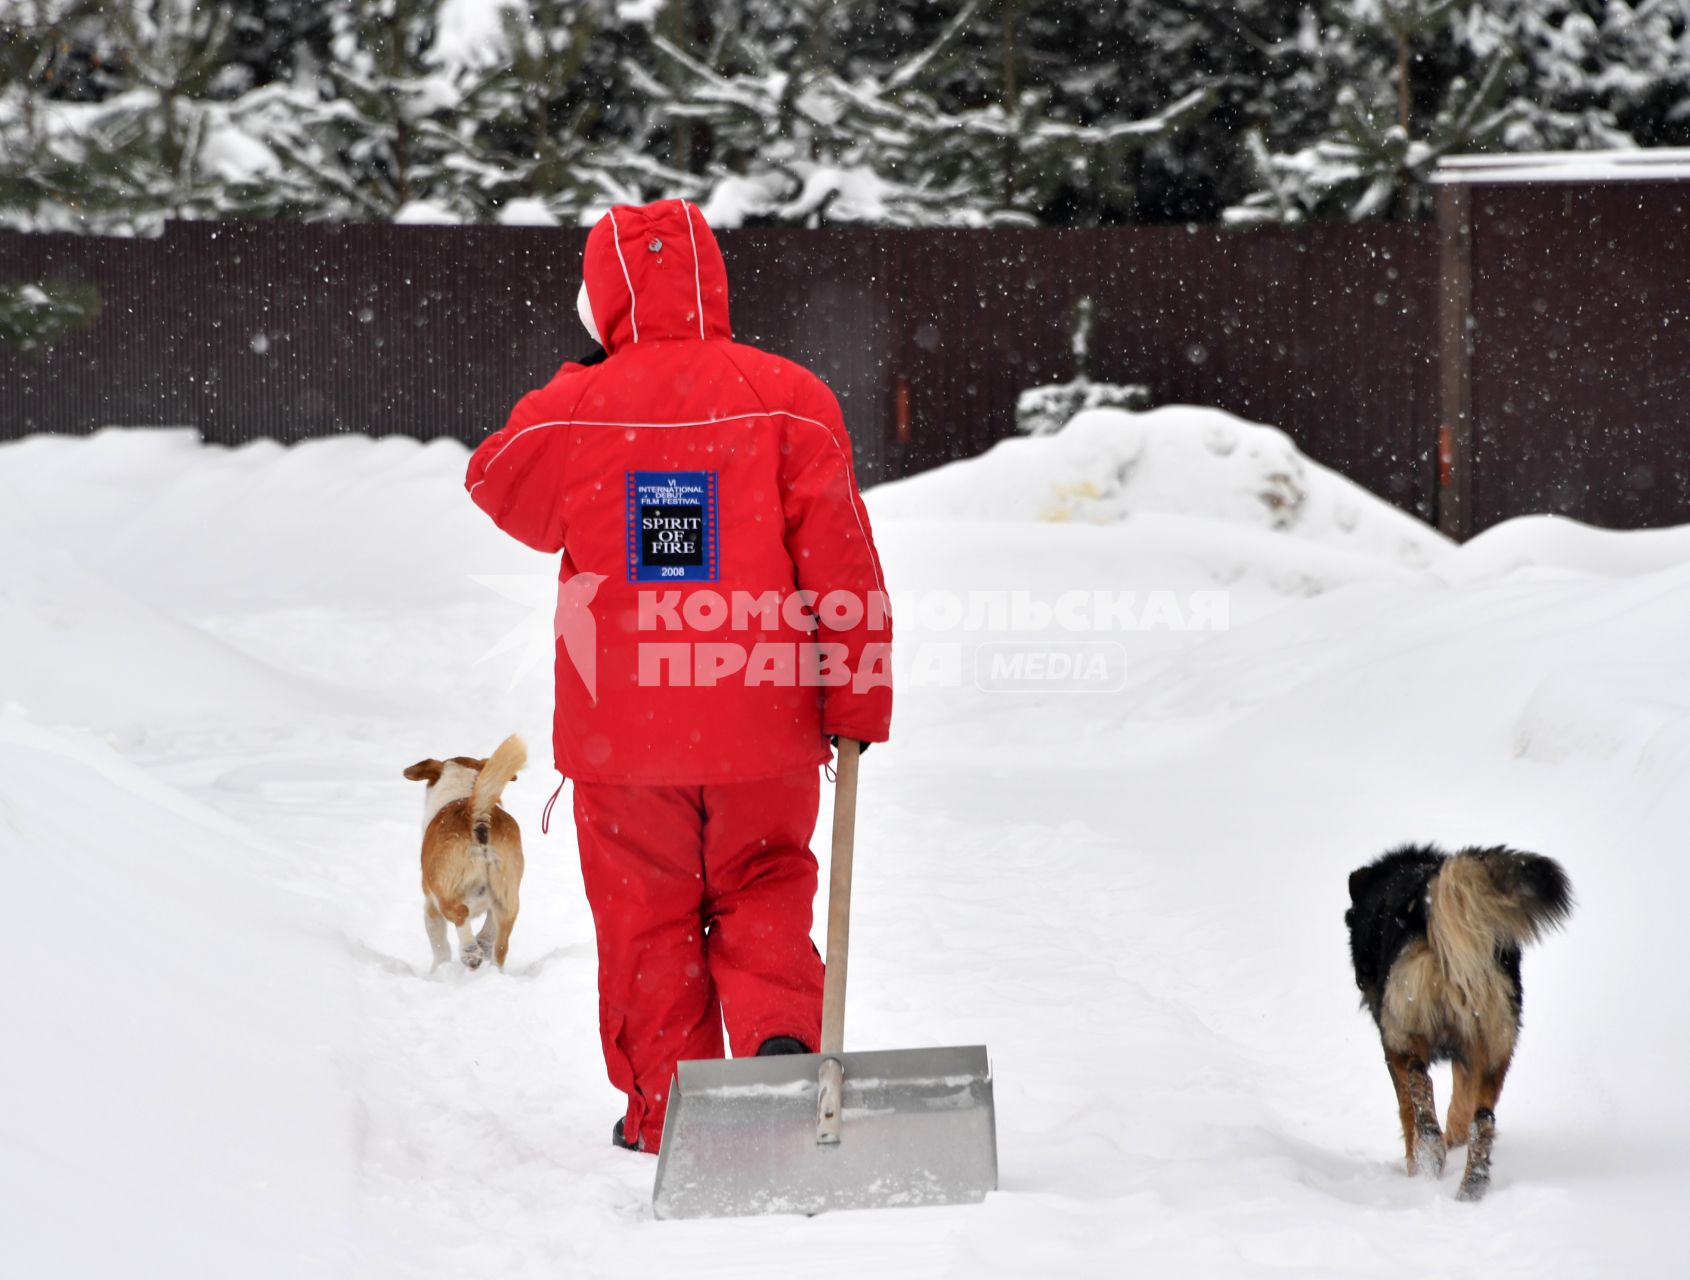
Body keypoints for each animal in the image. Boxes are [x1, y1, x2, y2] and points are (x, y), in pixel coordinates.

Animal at [400, 740, 523, 967]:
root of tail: (477, 815)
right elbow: (489, 930)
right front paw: (483, 943)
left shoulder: (430, 907)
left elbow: (439, 947)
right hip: (508, 897)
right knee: (501, 945)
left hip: (444, 892)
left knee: (460, 913)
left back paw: (470, 953)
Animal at [1345, 845, 1568, 1190]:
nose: (1361, 979)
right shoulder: (1471, 1053)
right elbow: (1461, 1111)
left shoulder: (1392, 1042)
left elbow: (1406, 1110)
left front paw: (1415, 1168)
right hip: (1495, 1039)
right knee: (1483, 1119)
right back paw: (1471, 1183)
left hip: (1406, 1025)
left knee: (1419, 1084)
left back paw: (1431, 1151)